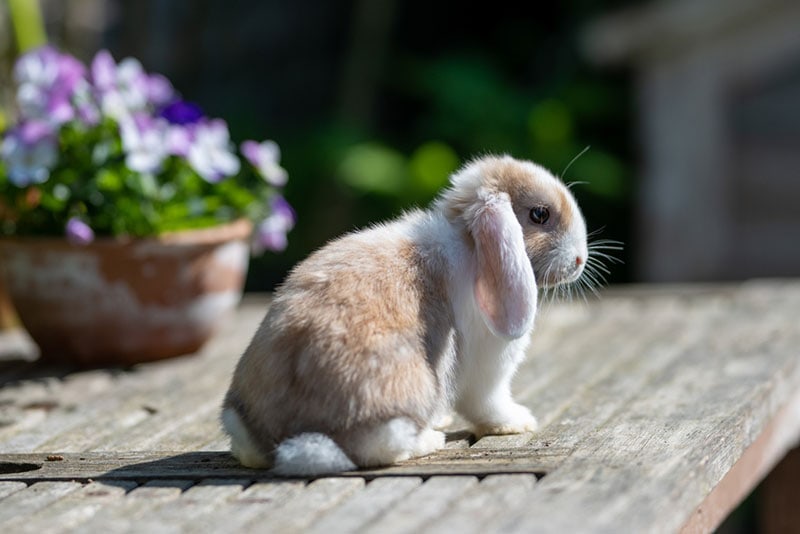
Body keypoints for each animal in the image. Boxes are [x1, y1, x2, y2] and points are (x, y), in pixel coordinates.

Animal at [221, 154, 588, 476]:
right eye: (539, 214)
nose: (580, 260)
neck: (471, 245)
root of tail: (287, 440)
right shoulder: (487, 371)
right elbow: (489, 402)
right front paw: (519, 422)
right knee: (382, 447)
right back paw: (430, 440)